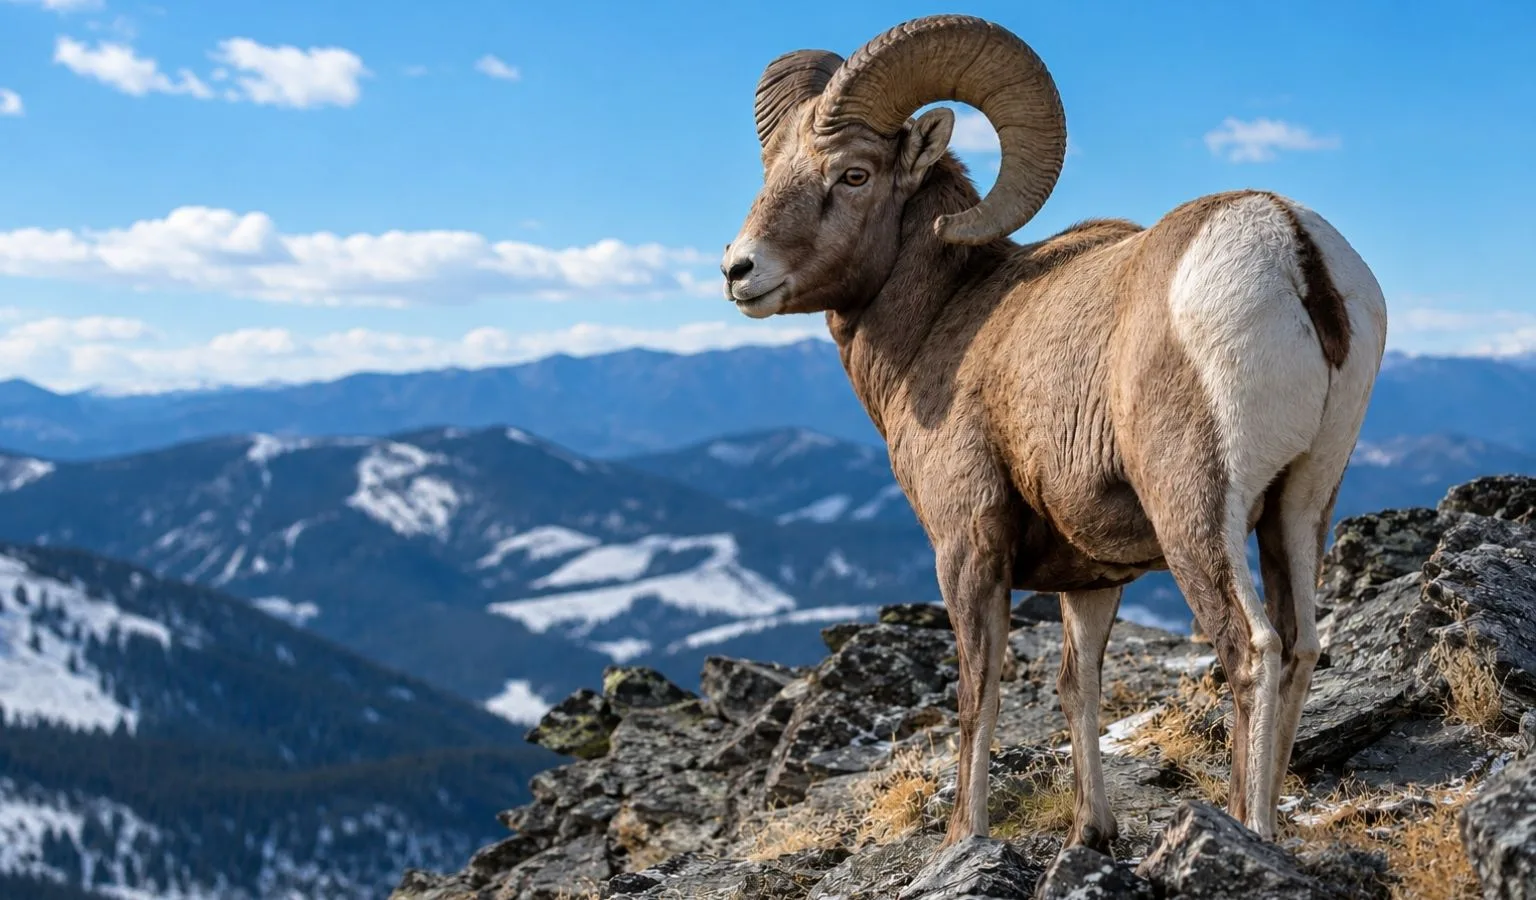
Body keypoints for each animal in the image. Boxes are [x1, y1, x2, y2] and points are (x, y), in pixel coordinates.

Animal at [719, 14, 1388, 852]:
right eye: (773, 167)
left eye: (854, 175)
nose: (740, 270)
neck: (943, 321)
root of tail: (1292, 245)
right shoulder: (1091, 578)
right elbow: (1079, 687)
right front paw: (1090, 833)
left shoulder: (968, 545)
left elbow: (978, 695)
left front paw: (961, 842)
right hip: (1301, 505)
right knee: (1299, 645)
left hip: (1197, 511)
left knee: (1250, 648)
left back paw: (1251, 827)